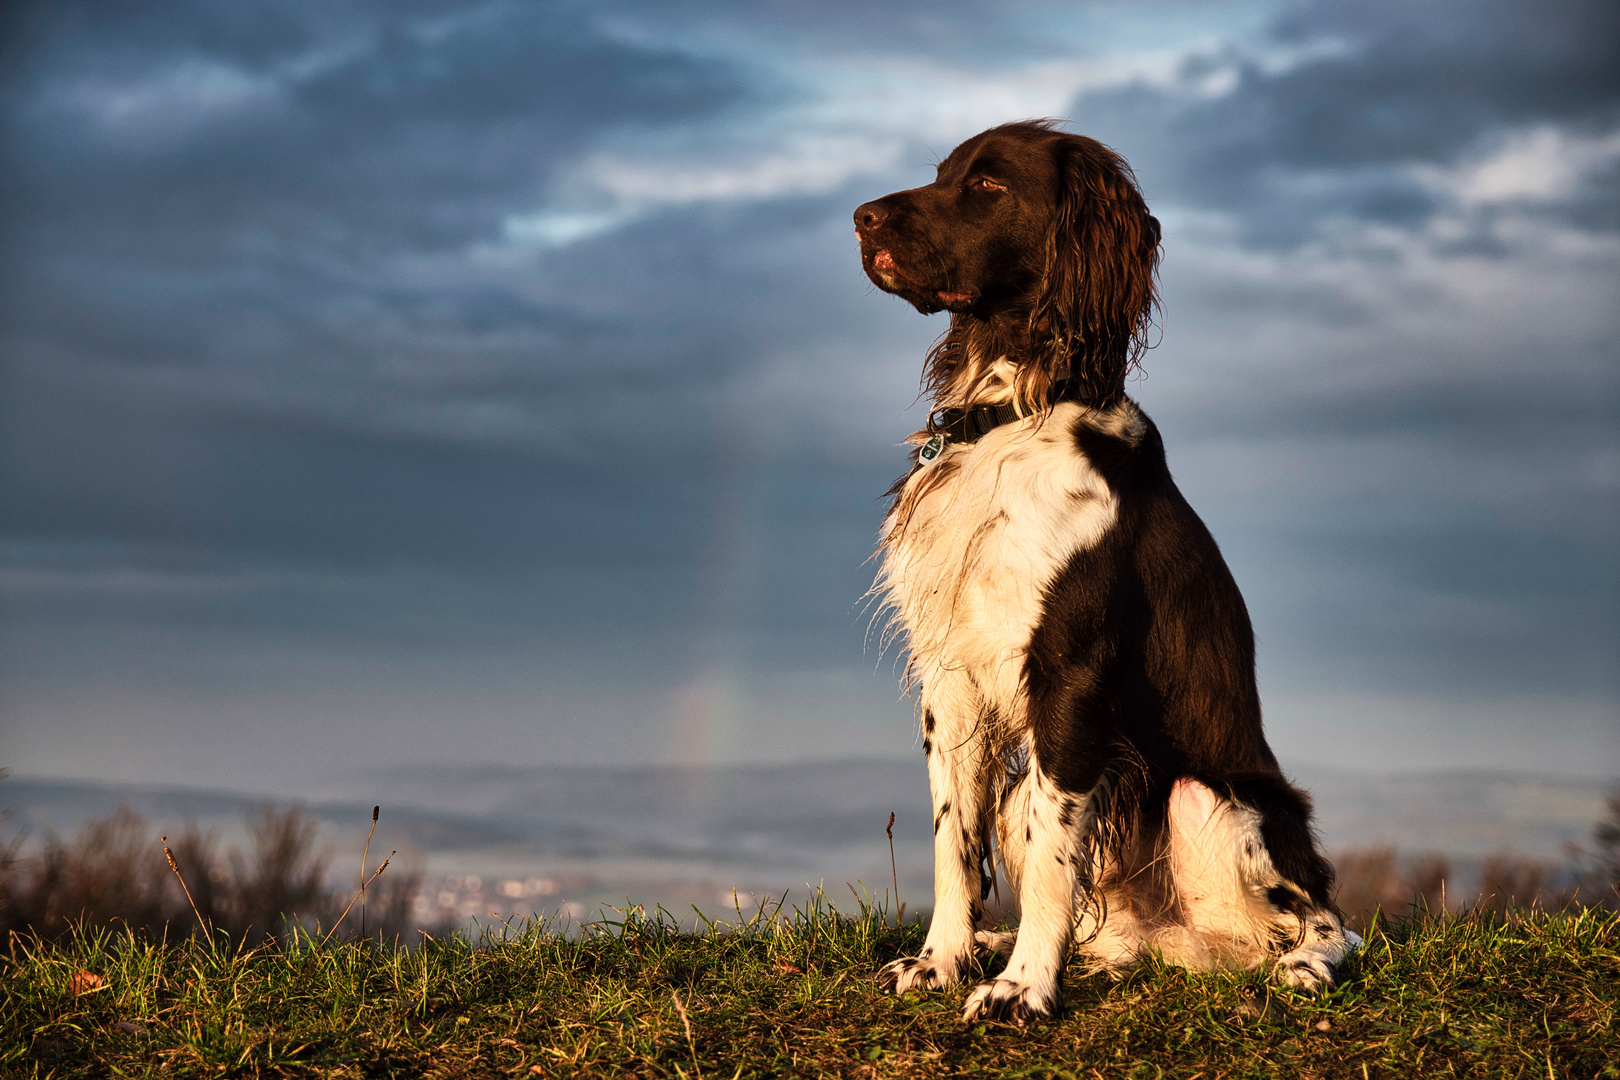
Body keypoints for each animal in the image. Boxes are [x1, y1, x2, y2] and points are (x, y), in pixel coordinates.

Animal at [855, 122, 1360, 1029]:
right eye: (943, 172)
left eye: (989, 185)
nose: (860, 217)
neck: (1010, 417)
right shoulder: (951, 676)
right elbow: (954, 841)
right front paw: (941, 961)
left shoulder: (1072, 671)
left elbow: (1056, 858)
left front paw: (1022, 988)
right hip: (1045, 804)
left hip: (1216, 795)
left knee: (1326, 917)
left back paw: (1308, 965)